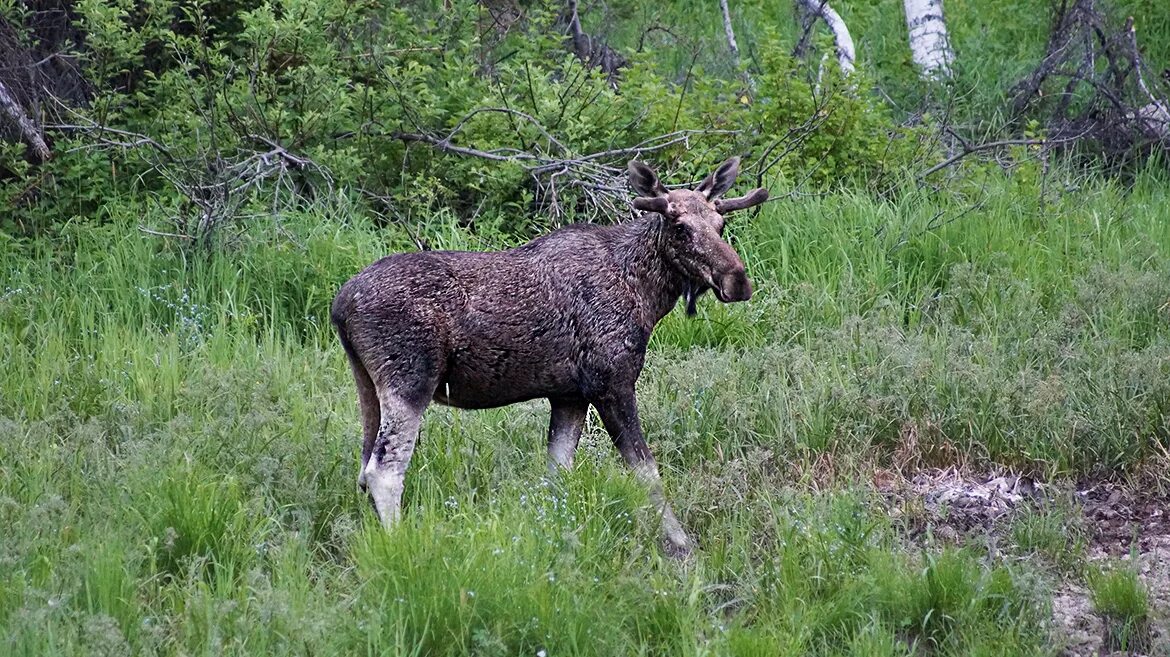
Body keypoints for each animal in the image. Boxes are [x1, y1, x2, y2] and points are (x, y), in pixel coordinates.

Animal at [329, 158, 767, 551]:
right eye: (680, 227)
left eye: (721, 224)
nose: (738, 281)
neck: (645, 294)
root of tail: (340, 305)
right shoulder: (611, 383)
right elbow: (645, 470)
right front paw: (681, 545)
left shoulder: (569, 395)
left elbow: (558, 474)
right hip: (410, 380)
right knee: (385, 471)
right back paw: (398, 542)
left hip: (367, 382)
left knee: (364, 468)